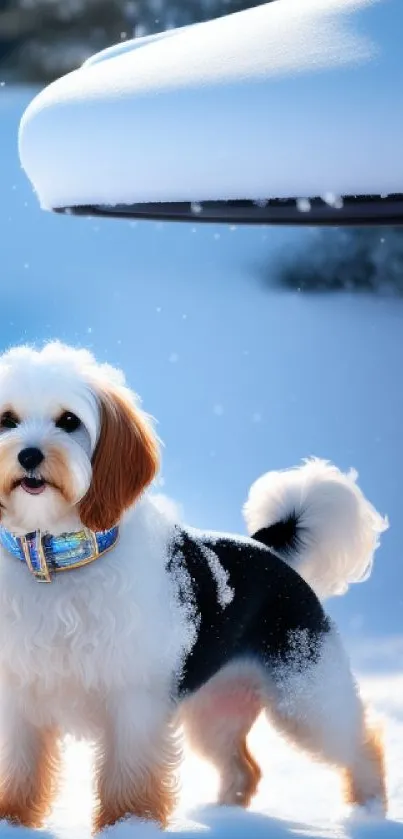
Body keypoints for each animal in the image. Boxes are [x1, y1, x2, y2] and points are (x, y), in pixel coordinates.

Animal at [0, 342, 390, 832]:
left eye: (69, 421)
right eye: (7, 419)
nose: (29, 456)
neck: (57, 558)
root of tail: (268, 550)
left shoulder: (134, 699)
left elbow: (129, 774)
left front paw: (129, 827)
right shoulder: (19, 696)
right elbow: (20, 769)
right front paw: (12, 821)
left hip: (306, 694)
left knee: (362, 744)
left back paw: (369, 811)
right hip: (216, 710)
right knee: (245, 767)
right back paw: (222, 816)